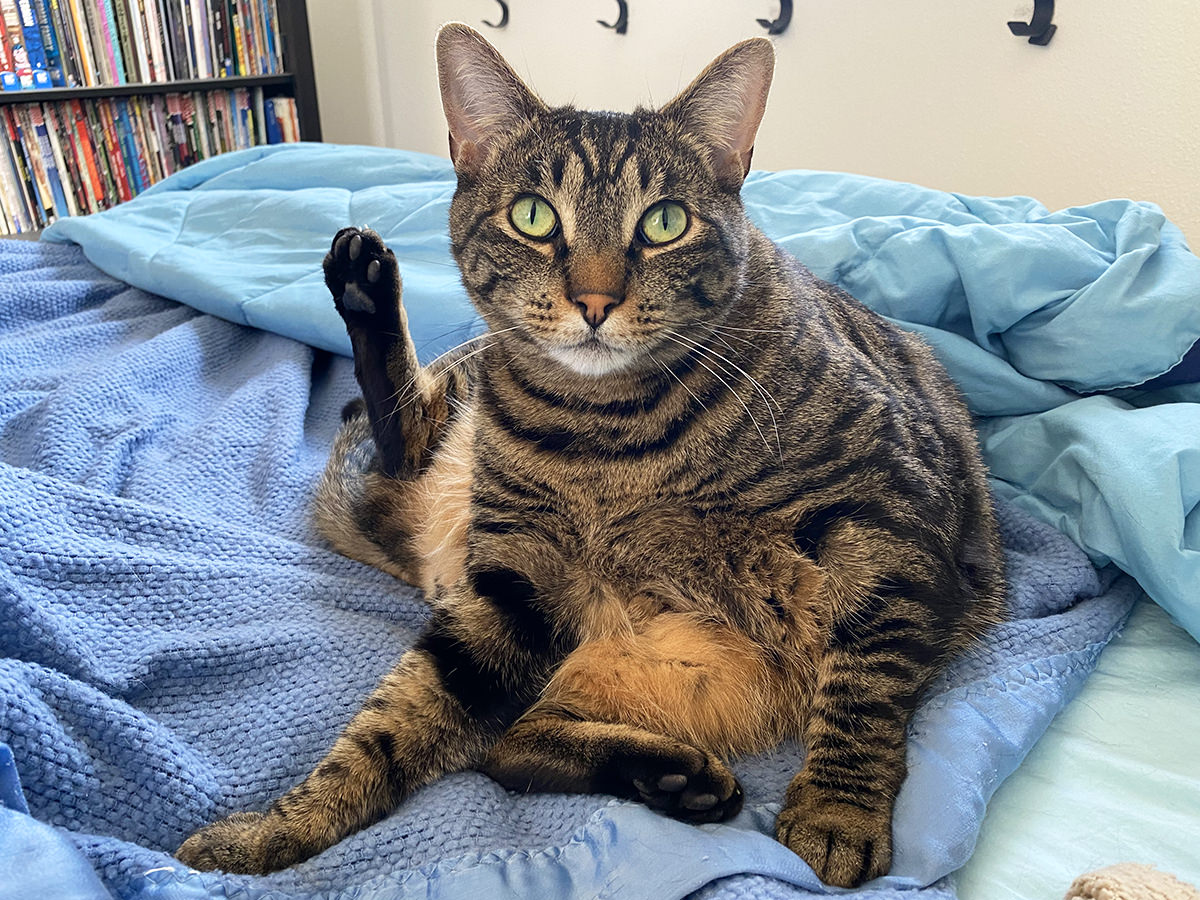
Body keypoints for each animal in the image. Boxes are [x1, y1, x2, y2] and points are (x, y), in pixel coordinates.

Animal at [177, 24, 1003, 892]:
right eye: (534, 216)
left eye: (665, 222)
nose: (597, 302)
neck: (607, 436)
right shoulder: (511, 581)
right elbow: (392, 725)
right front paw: (281, 828)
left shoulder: (887, 515)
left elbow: (866, 680)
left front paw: (838, 809)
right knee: (406, 463)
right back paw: (363, 286)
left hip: (686, 668)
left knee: (512, 743)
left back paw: (675, 779)